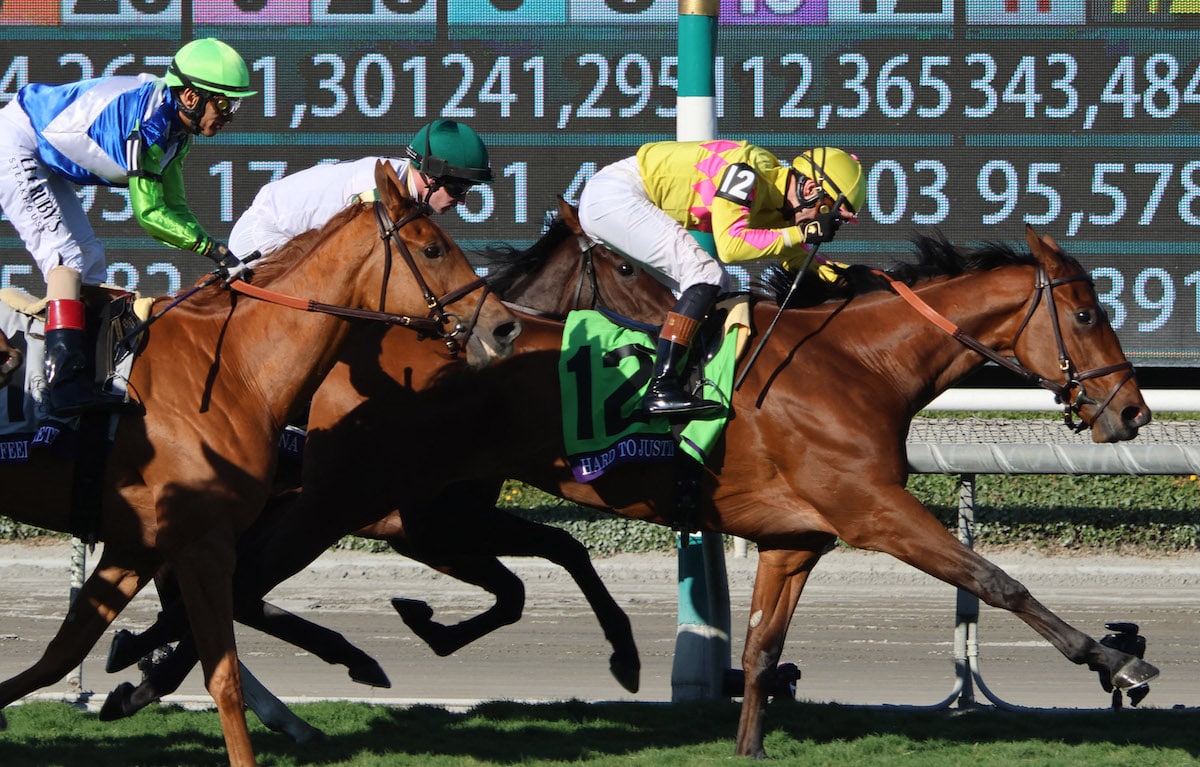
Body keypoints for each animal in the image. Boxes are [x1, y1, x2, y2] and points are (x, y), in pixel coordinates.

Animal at [0, 158, 516, 763]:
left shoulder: (137, 545)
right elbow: (222, 673)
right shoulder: (205, 541)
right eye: (433, 248)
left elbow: (58, 656)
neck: (235, 368)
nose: (503, 326)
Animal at [108, 225, 1156, 758]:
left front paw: (747, 740)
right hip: (351, 498)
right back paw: (159, 670)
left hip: (411, 500)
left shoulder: (796, 538)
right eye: (1088, 313)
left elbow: (763, 648)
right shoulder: (876, 511)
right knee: (234, 578)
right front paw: (1116, 660)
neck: (861, 364)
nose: (1133, 411)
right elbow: (997, 580)